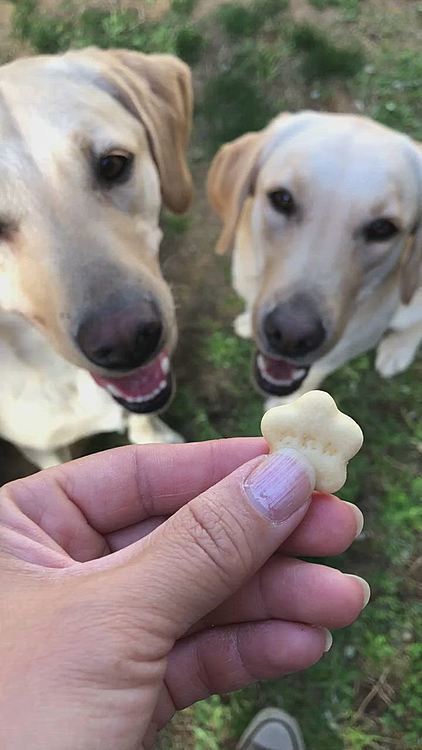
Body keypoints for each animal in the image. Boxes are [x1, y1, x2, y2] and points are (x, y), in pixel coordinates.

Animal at [208, 111, 422, 408]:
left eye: (382, 228)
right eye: (282, 199)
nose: (291, 335)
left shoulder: (343, 348)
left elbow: (314, 375)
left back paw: (397, 349)